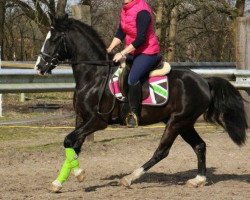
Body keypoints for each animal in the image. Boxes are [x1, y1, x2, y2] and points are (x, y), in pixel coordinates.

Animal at [35, 14, 248, 190]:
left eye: (54, 39)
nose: (39, 66)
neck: (94, 76)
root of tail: (204, 81)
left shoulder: (97, 121)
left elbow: (68, 141)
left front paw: (79, 174)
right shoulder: (81, 119)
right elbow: (73, 146)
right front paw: (58, 182)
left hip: (177, 122)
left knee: (162, 152)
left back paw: (130, 178)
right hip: (183, 123)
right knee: (200, 145)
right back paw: (198, 180)